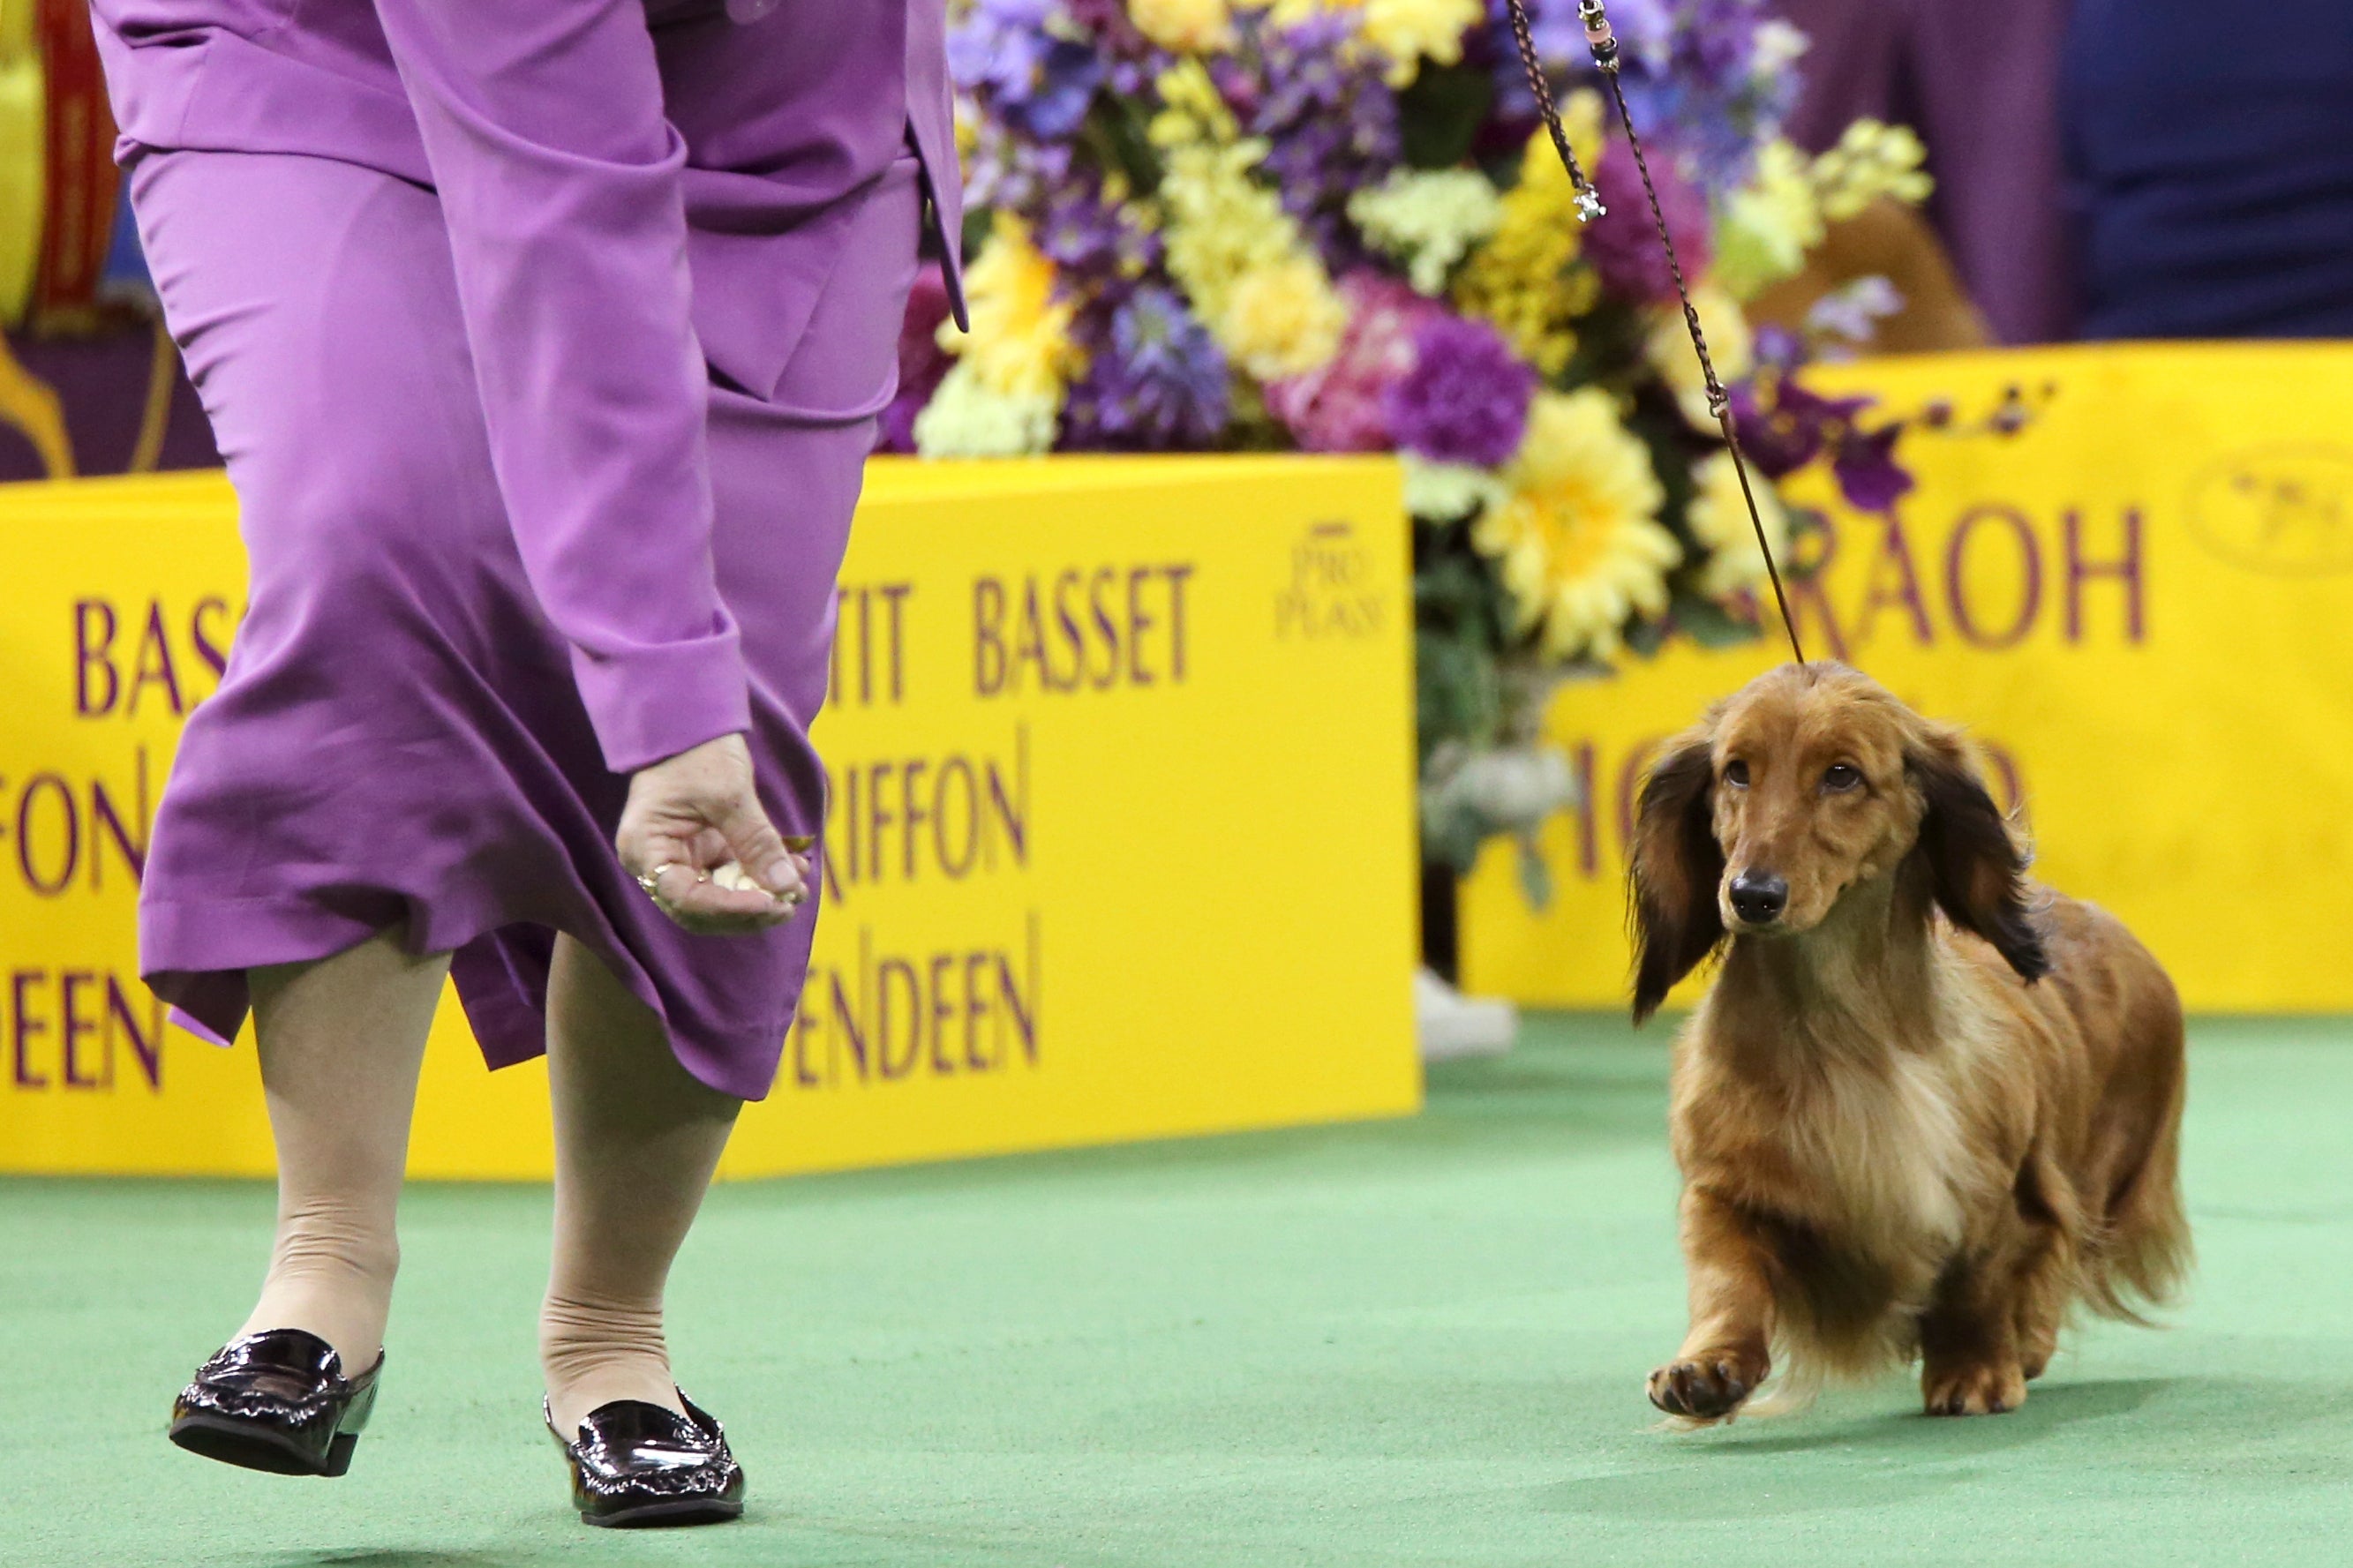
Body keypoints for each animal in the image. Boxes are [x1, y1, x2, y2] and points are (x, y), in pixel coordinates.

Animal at [1637, 663, 2184, 1420]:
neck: (1837, 1036)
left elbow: (1982, 1281)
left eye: (1841, 775)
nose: (1751, 894)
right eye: (1736, 771)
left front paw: (1975, 1369)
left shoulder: (1994, 1192)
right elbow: (1726, 1273)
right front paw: (1708, 1366)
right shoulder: (1723, 1181)